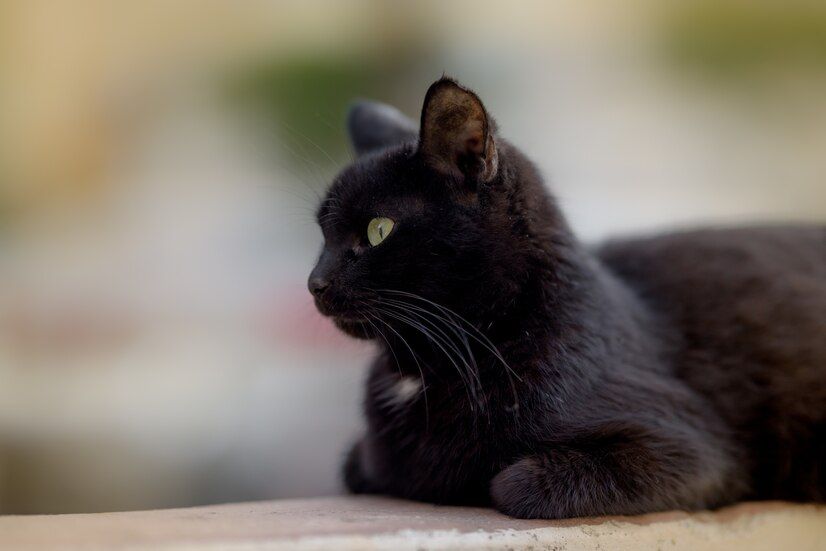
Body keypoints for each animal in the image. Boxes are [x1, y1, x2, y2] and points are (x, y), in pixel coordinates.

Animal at [306, 78, 820, 520]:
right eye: (323, 234)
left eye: (378, 230)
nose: (315, 282)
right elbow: (359, 463)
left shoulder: (695, 453)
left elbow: (510, 483)